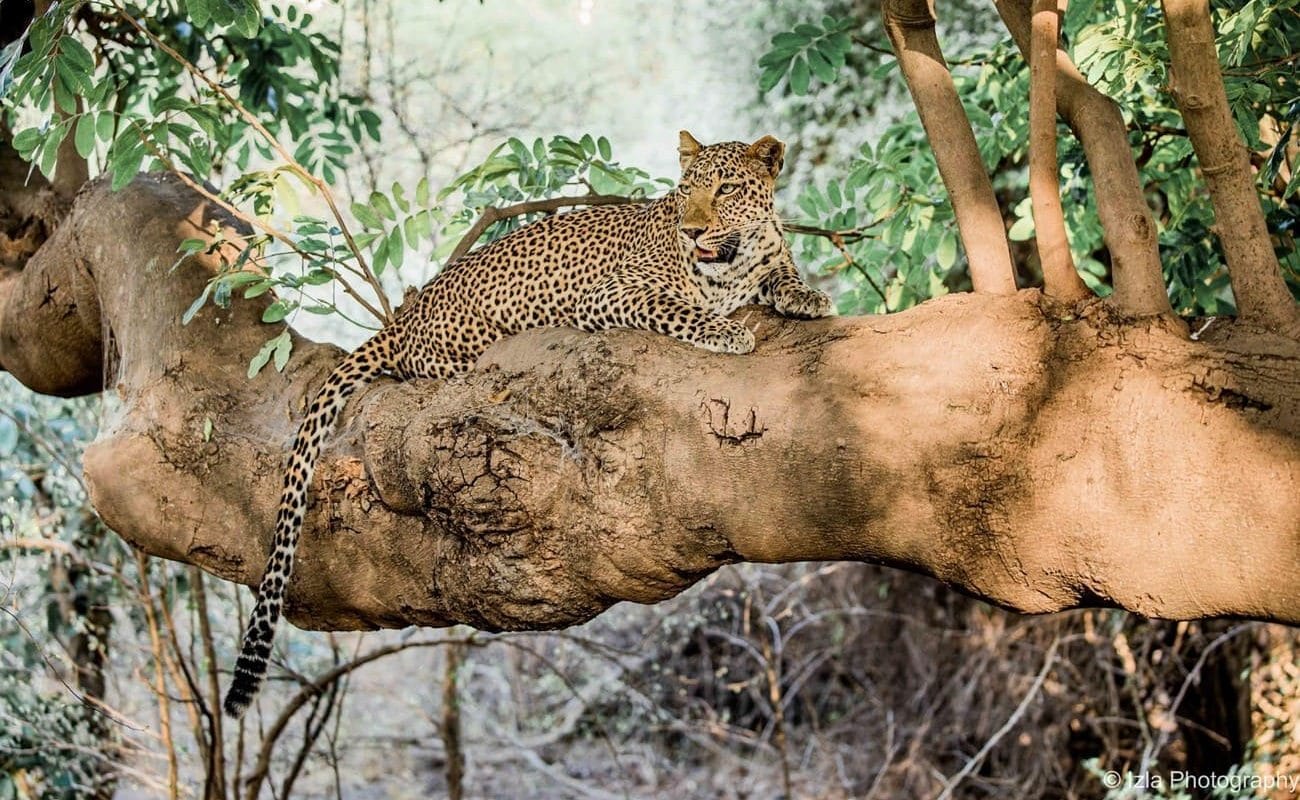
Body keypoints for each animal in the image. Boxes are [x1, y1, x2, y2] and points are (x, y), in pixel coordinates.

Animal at [223, 131, 835, 718]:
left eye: (726, 189)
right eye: (686, 190)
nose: (692, 230)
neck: (734, 261)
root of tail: (408, 315)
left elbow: (782, 273)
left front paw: (808, 295)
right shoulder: (613, 293)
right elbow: (680, 309)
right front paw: (728, 330)